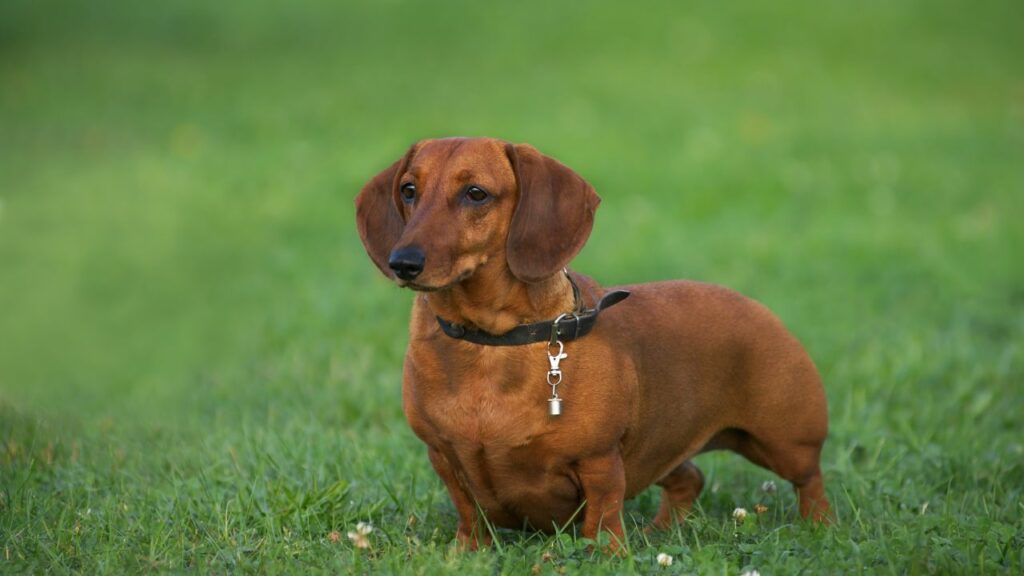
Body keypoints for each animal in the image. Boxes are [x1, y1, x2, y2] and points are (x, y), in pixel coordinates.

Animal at [356, 136, 827, 545]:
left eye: (476, 193)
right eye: (409, 189)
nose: (403, 262)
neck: (490, 342)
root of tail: (755, 305)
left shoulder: (600, 462)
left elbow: (602, 518)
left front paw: (608, 554)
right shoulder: (444, 456)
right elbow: (469, 515)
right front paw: (468, 553)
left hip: (786, 444)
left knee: (811, 482)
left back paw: (821, 528)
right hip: (659, 445)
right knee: (690, 477)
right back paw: (660, 531)